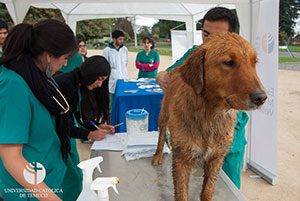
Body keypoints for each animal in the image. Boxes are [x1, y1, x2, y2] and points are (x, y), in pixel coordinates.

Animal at [152, 32, 268, 201]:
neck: (211, 115)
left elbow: (208, 189)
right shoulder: (182, 157)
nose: (261, 98)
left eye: (254, 63)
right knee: (161, 135)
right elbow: (181, 193)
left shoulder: (217, 157)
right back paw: (157, 155)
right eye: (229, 62)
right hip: (164, 114)